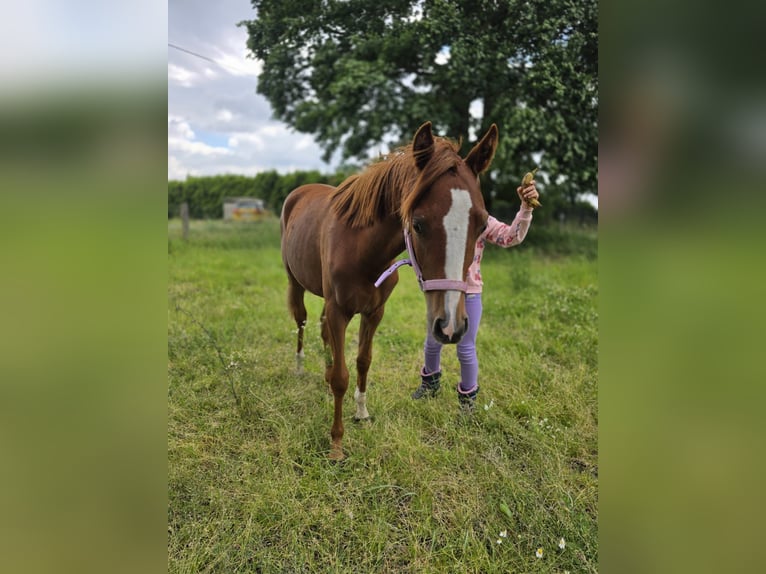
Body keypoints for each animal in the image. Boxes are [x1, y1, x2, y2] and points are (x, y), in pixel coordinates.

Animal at [280, 121, 498, 460]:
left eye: (483, 225)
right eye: (417, 224)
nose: (450, 326)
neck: (360, 249)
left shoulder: (374, 313)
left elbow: (362, 361)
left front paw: (361, 413)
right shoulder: (340, 311)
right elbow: (342, 376)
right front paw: (336, 445)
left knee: (322, 329)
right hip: (296, 283)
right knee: (301, 321)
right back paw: (301, 366)